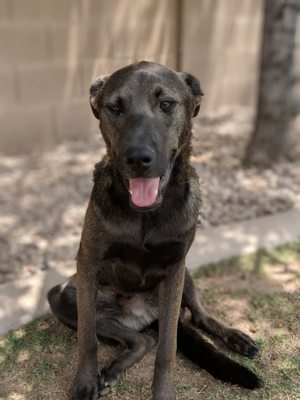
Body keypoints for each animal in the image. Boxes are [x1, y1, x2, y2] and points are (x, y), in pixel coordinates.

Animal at [48, 61, 262, 398]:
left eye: (167, 104)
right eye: (115, 107)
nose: (138, 159)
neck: (146, 214)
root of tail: (145, 316)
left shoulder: (175, 268)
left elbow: (167, 350)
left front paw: (162, 392)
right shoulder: (87, 265)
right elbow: (87, 339)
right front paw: (84, 383)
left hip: (186, 277)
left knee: (198, 316)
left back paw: (235, 337)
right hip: (62, 297)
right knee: (142, 339)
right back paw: (112, 369)